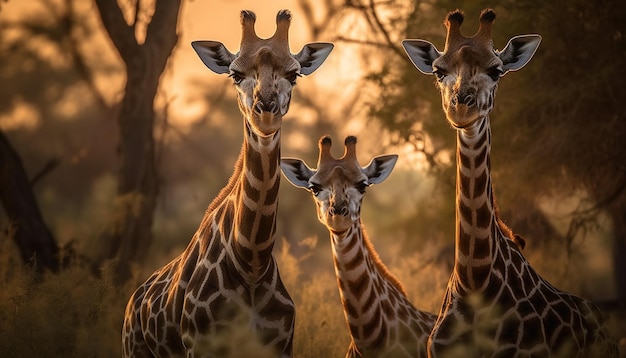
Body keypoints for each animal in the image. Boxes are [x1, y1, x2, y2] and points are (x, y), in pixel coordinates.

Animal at [120, 9, 332, 356]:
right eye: (234, 74)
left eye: (294, 75)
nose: (266, 111)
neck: (251, 262)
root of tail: (131, 304)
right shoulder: (201, 345)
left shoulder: (281, 345)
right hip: (134, 350)